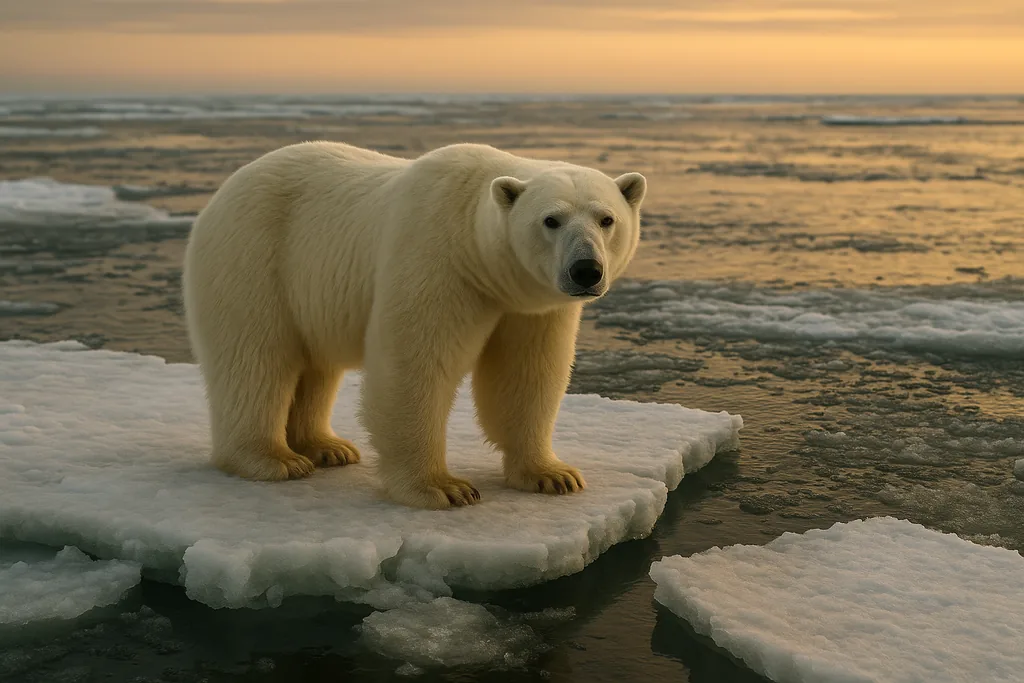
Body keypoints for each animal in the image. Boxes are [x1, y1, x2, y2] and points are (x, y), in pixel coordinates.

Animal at [182, 141, 646, 509]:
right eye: (551, 220)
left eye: (606, 219)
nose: (586, 270)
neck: (474, 246)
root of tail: (222, 192)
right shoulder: (434, 260)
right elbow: (415, 366)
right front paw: (444, 488)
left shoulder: (530, 307)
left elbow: (526, 375)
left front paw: (553, 475)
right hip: (255, 257)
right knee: (255, 359)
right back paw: (273, 459)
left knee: (315, 366)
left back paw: (327, 447)